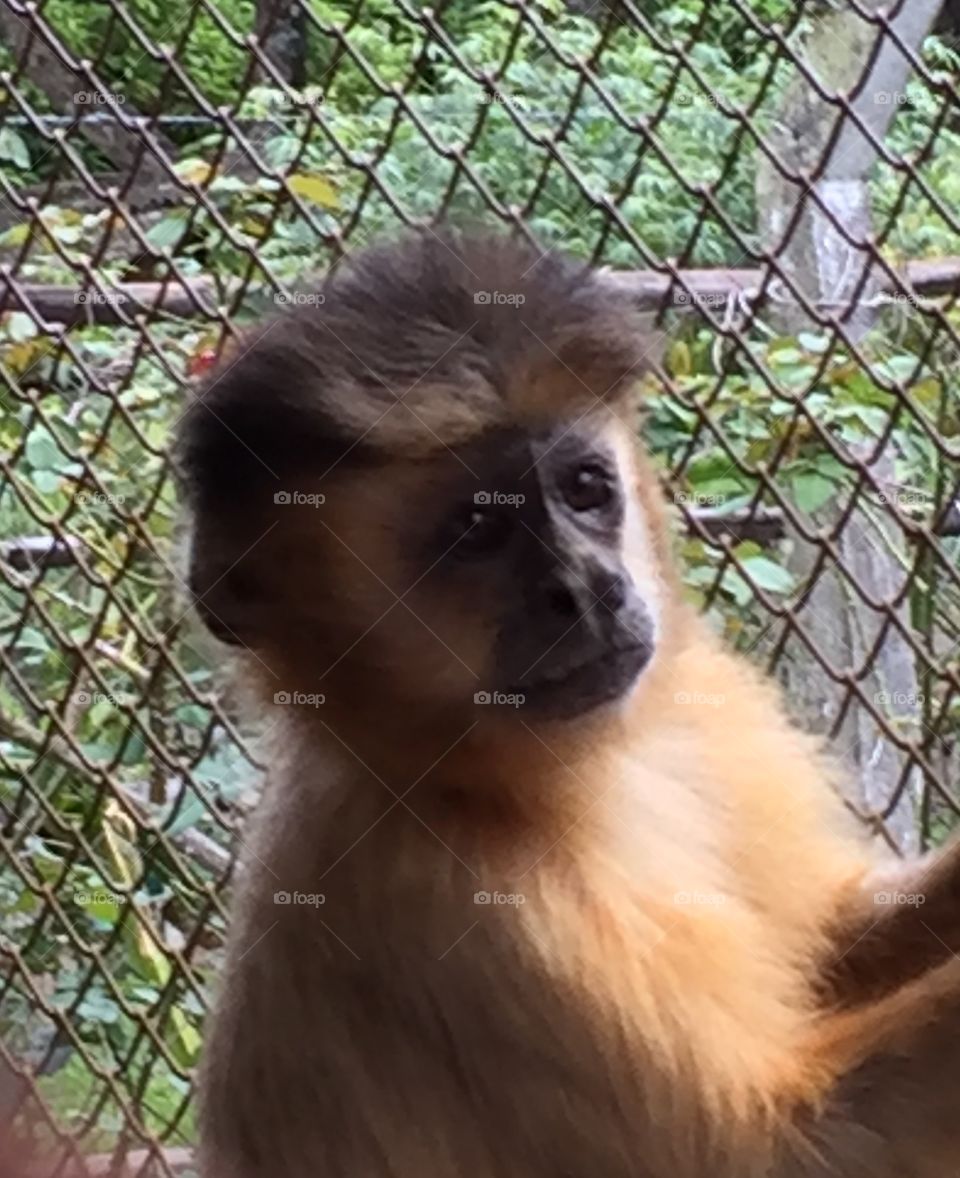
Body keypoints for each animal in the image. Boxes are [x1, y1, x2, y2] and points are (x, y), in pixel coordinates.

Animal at [175, 228, 960, 1178]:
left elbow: (827, 948)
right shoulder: (456, 909)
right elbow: (792, 1152)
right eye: (479, 530)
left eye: (583, 490)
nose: (585, 588)